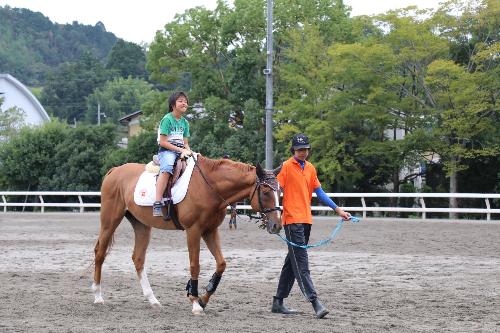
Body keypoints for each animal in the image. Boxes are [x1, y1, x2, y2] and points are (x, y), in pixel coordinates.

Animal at [92, 154, 284, 312]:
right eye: (265, 192)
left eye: (280, 193)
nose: (277, 225)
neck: (210, 187)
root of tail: (115, 171)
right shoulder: (194, 230)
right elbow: (195, 265)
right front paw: (195, 302)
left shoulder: (210, 231)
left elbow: (221, 264)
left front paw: (203, 299)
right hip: (110, 222)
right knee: (100, 253)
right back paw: (98, 296)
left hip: (142, 226)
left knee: (138, 258)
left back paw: (152, 300)